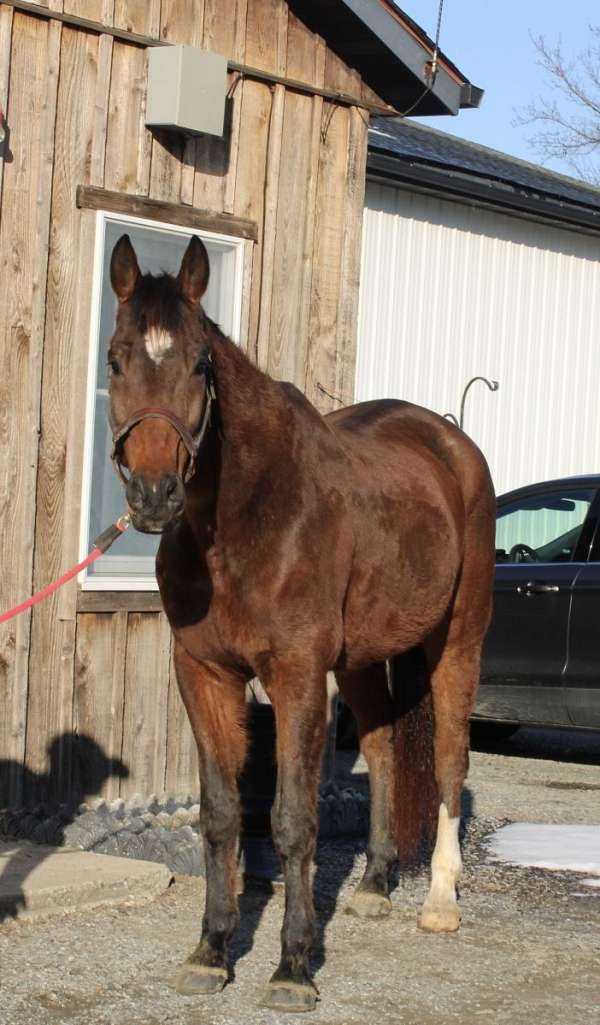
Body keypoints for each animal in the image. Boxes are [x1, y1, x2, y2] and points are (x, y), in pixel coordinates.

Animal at [107, 233, 495, 1012]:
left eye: (200, 363)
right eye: (114, 358)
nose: (154, 494)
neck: (246, 516)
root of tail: (451, 442)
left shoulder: (294, 674)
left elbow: (291, 819)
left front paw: (291, 967)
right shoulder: (205, 673)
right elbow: (222, 813)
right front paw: (211, 951)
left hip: (457, 639)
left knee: (448, 758)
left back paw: (440, 900)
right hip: (362, 659)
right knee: (383, 749)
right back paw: (375, 884)